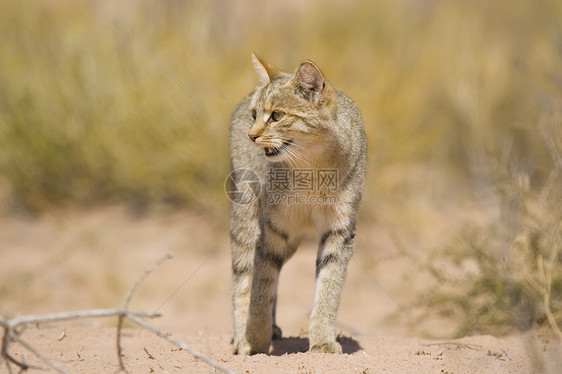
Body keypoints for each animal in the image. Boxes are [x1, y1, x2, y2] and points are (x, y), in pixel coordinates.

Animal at [229, 54, 368, 356]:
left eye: (277, 116)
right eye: (255, 114)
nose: (251, 135)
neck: (312, 170)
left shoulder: (340, 230)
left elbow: (329, 286)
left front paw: (323, 340)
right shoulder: (270, 227)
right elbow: (259, 285)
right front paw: (254, 339)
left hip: (291, 238)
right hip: (246, 217)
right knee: (243, 276)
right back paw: (240, 336)